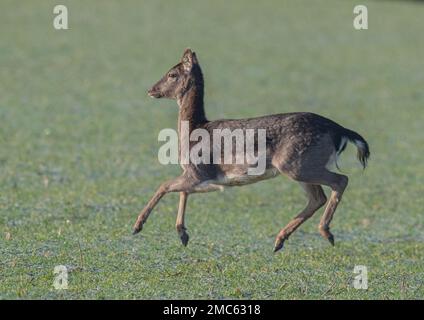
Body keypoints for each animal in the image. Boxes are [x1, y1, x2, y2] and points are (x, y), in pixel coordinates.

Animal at [132, 48, 368, 252]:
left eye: (172, 74)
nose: (151, 90)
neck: (193, 130)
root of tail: (339, 130)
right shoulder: (208, 179)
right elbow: (182, 191)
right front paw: (183, 235)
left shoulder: (200, 170)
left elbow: (164, 185)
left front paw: (137, 226)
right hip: (300, 166)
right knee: (318, 197)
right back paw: (280, 241)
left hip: (297, 164)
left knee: (340, 180)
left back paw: (325, 232)